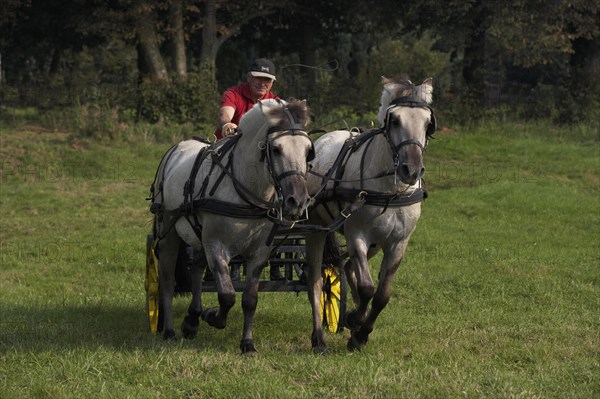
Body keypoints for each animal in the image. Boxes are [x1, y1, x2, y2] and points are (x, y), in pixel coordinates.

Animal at [150, 98, 314, 354]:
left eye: (308, 151)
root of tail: (177, 148)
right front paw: (212, 316)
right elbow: (227, 295)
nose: (297, 200)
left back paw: (192, 320)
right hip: (169, 232)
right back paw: (168, 330)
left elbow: (249, 299)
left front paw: (247, 343)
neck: (245, 190)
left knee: (196, 269)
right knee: (166, 280)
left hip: (199, 237)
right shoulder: (216, 246)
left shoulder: (259, 253)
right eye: (276, 149)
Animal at [304, 78, 436, 354]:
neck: (390, 190)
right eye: (394, 120)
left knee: (348, 267)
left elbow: (382, 294)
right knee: (316, 282)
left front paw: (360, 331)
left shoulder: (397, 243)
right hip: (316, 229)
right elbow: (367, 288)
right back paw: (319, 338)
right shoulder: (357, 236)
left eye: (428, 123)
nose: (411, 170)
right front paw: (355, 322)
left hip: (376, 243)